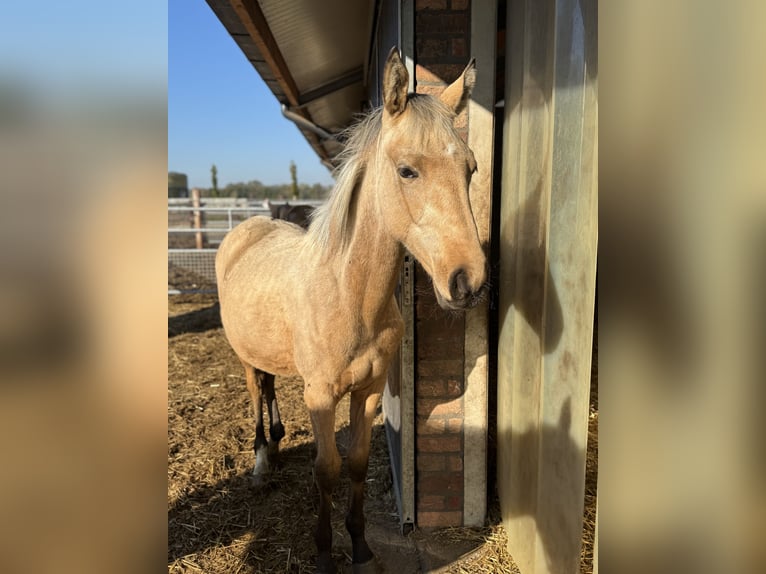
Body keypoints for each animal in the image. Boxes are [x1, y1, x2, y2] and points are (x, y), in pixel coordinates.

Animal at [216, 49, 486, 574]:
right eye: (407, 171)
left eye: (471, 168)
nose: (469, 281)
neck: (348, 296)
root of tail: (248, 228)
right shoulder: (321, 395)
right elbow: (327, 470)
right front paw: (323, 552)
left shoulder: (369, 390)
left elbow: (356, 465)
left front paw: (360, 547)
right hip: (244, 358)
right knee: (257, 392)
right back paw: (260, 462)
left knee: (271, 387)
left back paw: (276, 442)